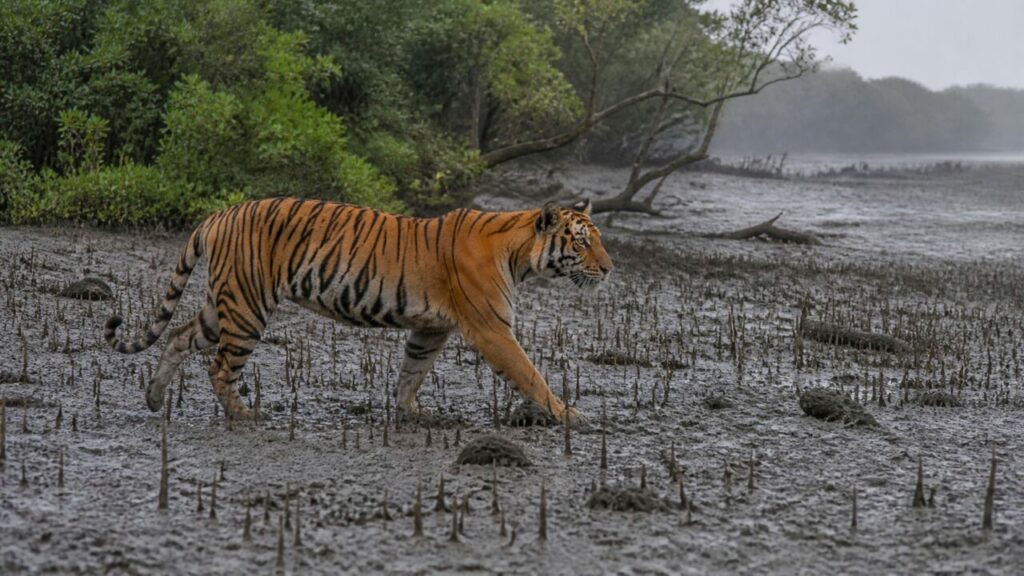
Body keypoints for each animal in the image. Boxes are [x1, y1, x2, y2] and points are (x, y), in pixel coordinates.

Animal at [104, 197, 613, 425]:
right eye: (581, 241)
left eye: (599, 239)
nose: (610, 268)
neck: (521, 254)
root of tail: (220, 213)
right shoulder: (492, 329)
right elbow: (530, 374)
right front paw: (569, 415)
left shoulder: (430, 329)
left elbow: (412, 372)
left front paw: (412, 413)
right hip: (247, 307)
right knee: (219, 367)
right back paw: (245, 415)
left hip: (222, 305)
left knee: (179, 335)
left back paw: (154, 397)